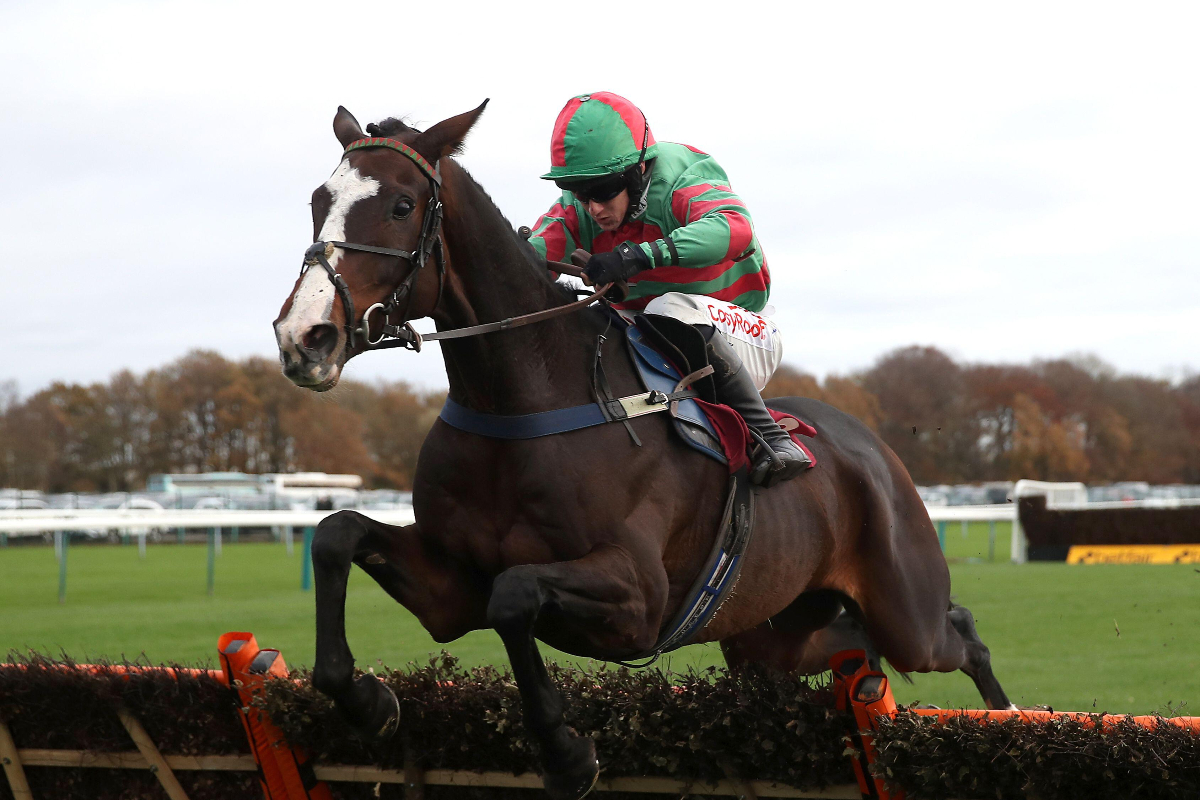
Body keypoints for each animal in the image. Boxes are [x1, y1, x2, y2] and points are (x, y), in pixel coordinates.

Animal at [274, 103, 1012, 800]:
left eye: (402, 205)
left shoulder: (639, 600)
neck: (523, 400)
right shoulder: (451, 590)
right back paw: (875, 687)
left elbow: (514, 595)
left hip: (905, 611)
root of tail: (876, 450)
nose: (303, 337)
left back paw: (1003, 720)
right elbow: (337, 535)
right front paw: (368, 702)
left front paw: (567, 755)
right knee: (853, 649)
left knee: (962, 632)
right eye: (317, 198)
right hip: (770, 635)